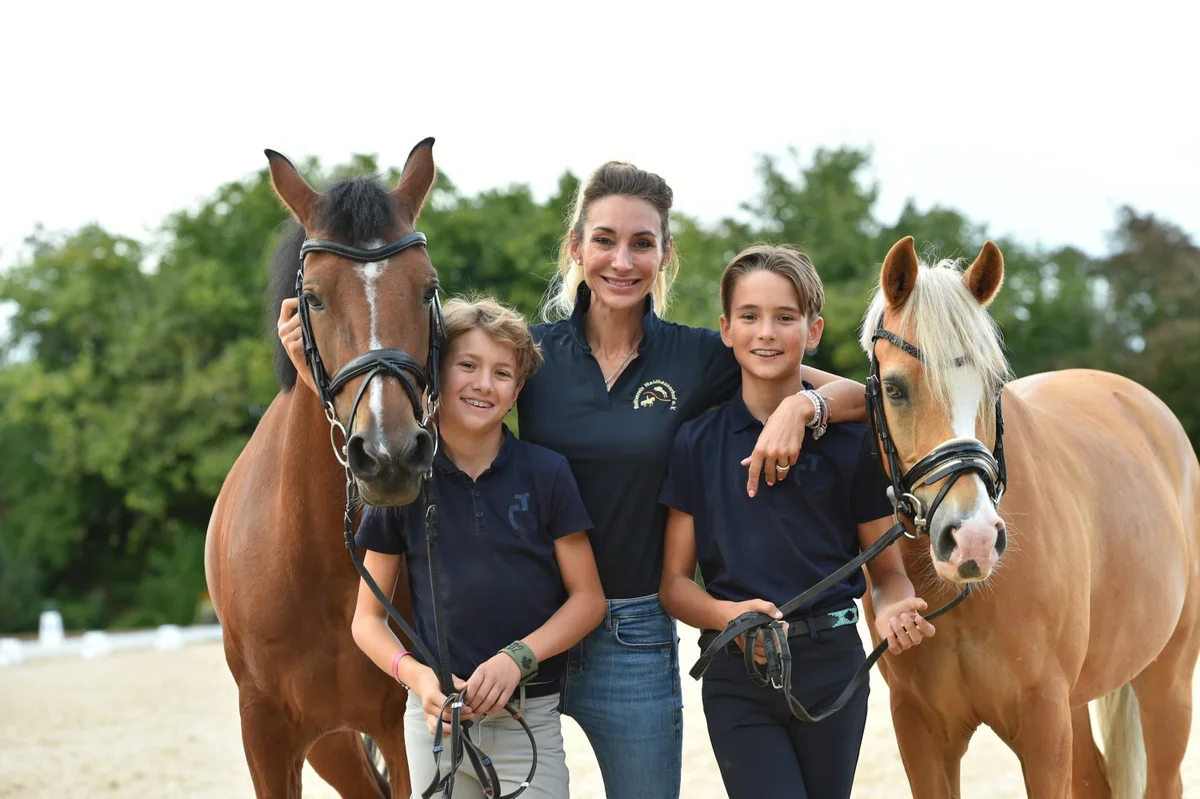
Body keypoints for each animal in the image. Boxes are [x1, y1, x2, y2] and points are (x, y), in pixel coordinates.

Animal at [204, 139, 444, 791]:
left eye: (427, 289)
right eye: (311, 297)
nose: (389, 454)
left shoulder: (405, 725)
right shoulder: (265, 731)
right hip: (330, 745)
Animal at [859, 233, 1200, 791]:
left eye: (995, 383)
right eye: (894, 388)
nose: (973, 540)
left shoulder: (1044, 725)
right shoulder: (919, 730)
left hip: (1166, 679)